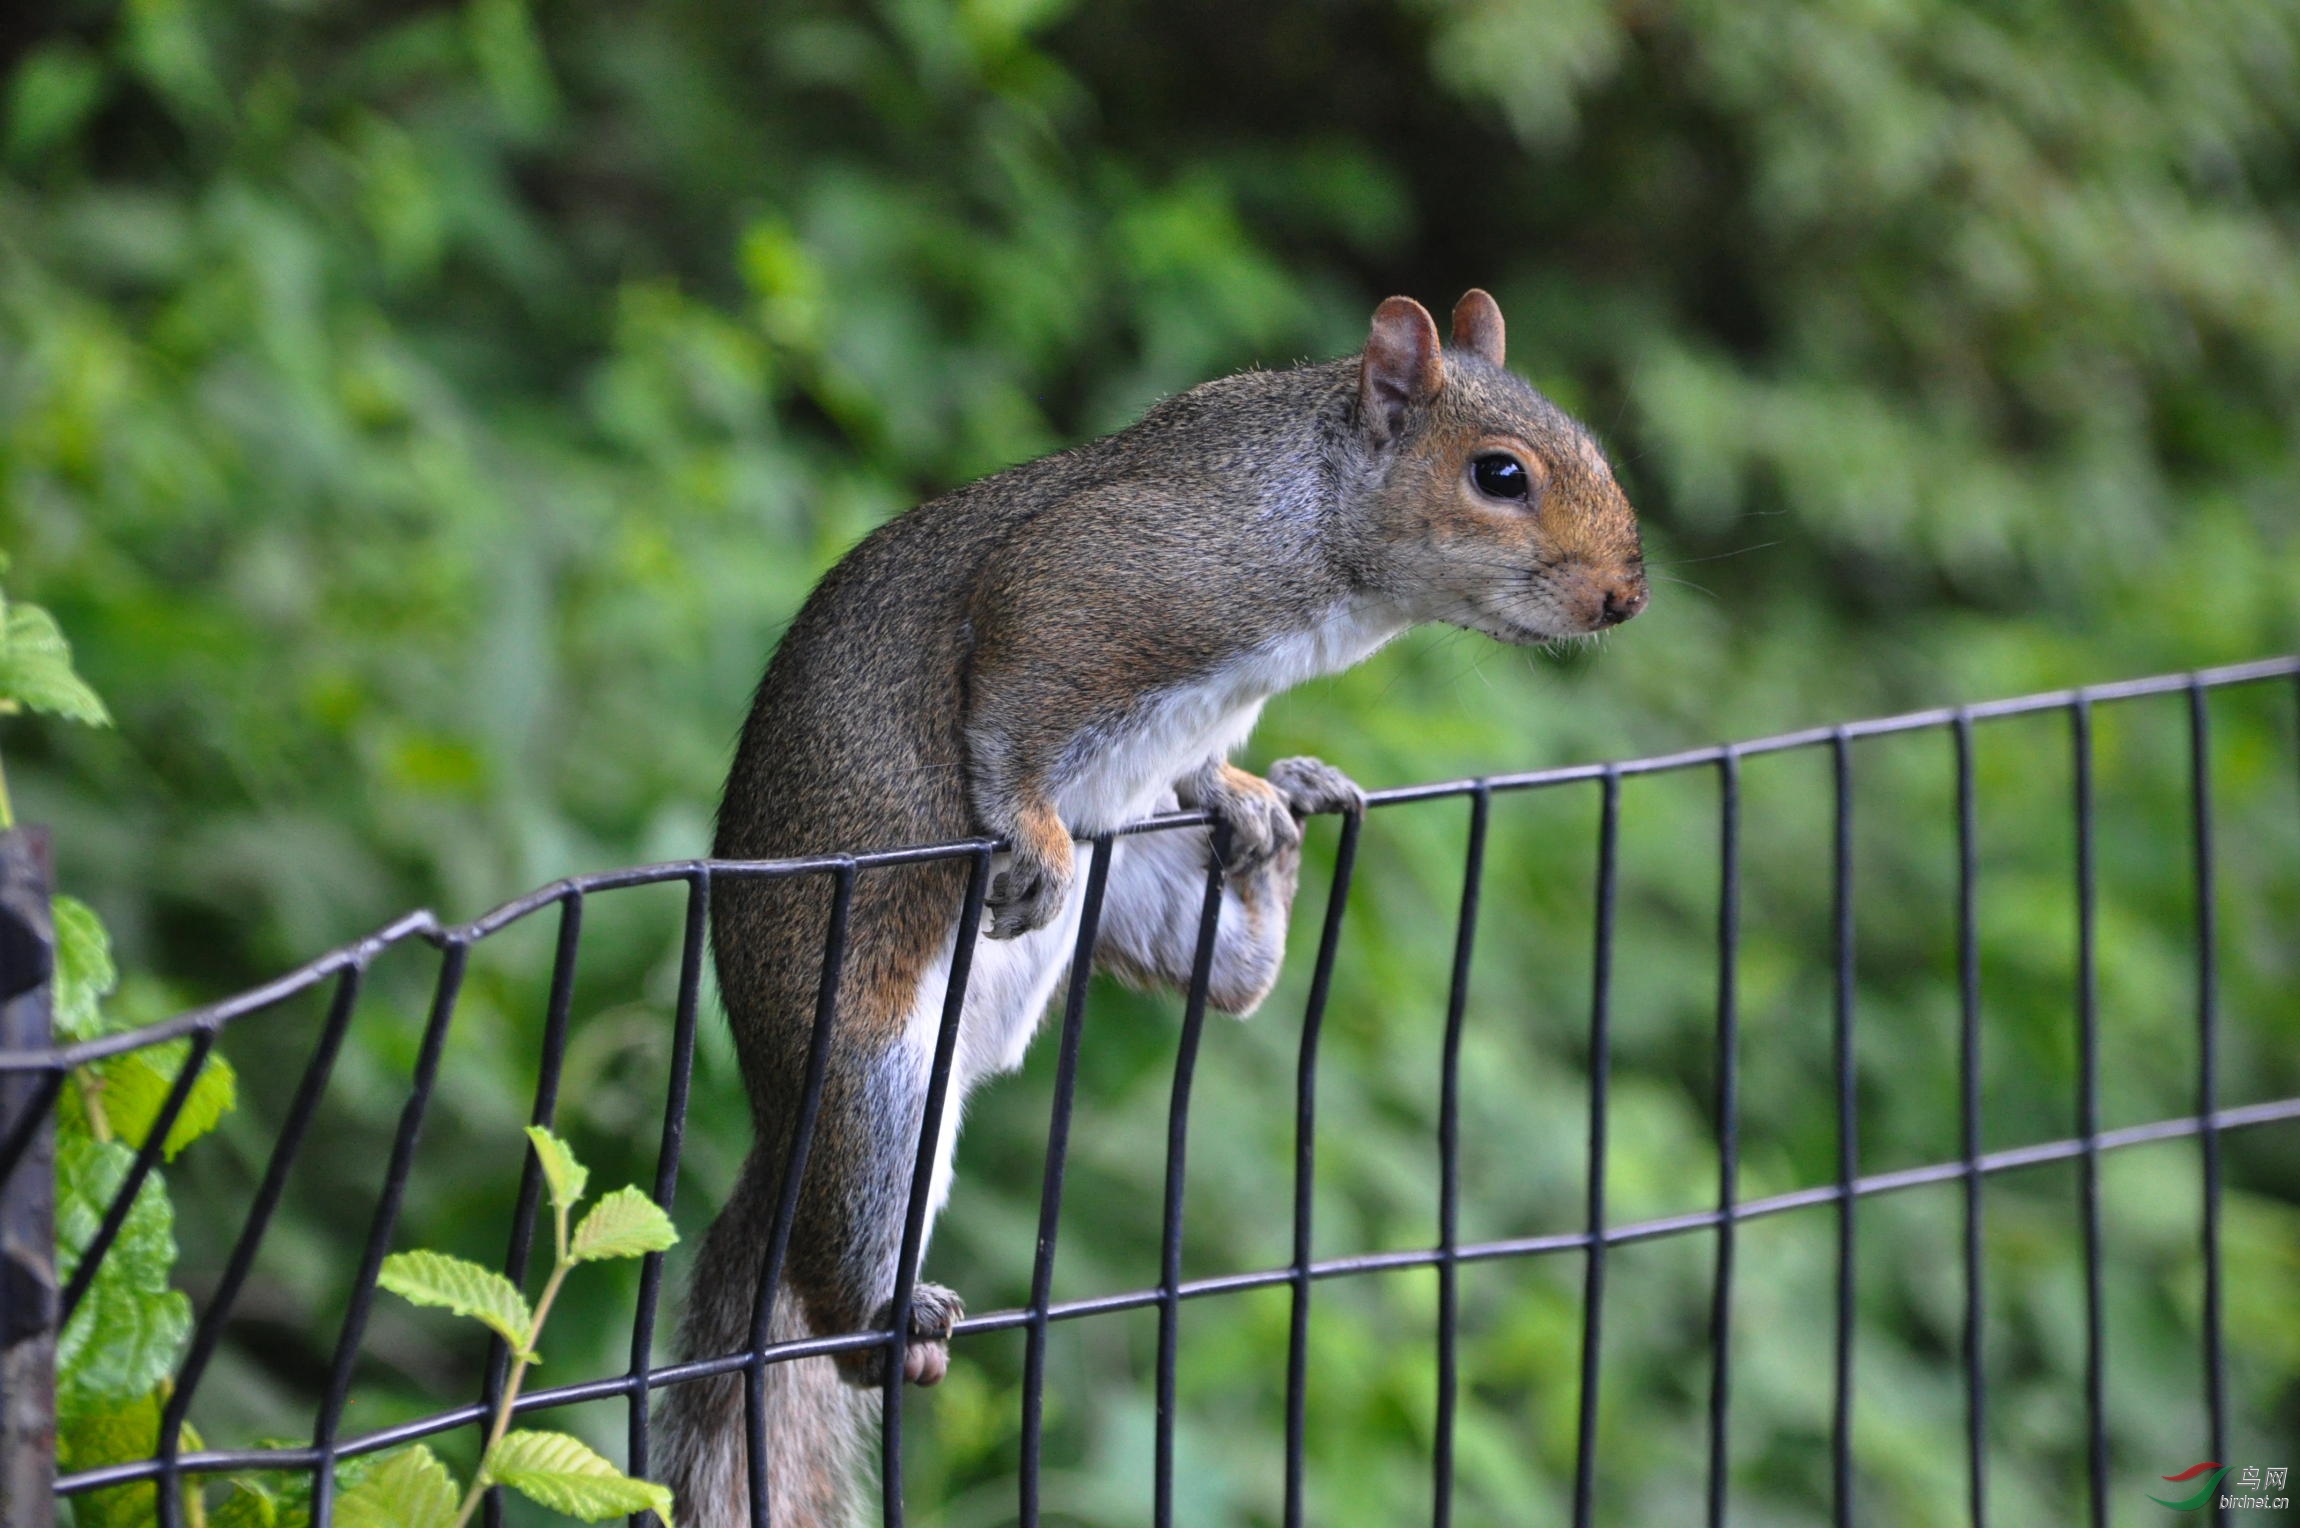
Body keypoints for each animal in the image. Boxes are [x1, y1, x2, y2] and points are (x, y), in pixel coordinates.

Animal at [657, 289, 1646, 1528]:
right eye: (1499, 474)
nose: (1625, 593)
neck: (1317, 523)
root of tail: (776, 1121)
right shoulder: (1104, 580)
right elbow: (1009, 708)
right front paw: (1031, 827)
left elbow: (1196, 765)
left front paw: (1237, 787)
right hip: (865, 1074)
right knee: (838, 1276)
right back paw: (887, 1322)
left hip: (1126, 882)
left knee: (1229, 975)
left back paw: (1278, 846)